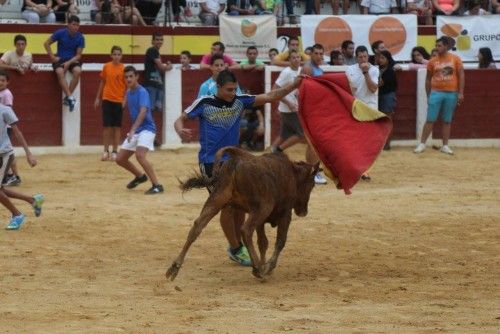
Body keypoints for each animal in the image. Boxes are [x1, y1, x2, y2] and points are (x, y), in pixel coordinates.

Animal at [166, 146, 318, 280]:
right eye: (312, 185)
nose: (303, 212)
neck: (292, 173)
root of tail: (236, 160)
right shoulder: (285, 214)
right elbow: (280, 241)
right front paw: (268, 266)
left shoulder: (261, 221)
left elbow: (263, 242)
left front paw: (264, 264)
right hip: (263, 207)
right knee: (246, 230)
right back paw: (257, 269)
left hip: (217, 198)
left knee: (198, 225)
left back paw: (174, 267)